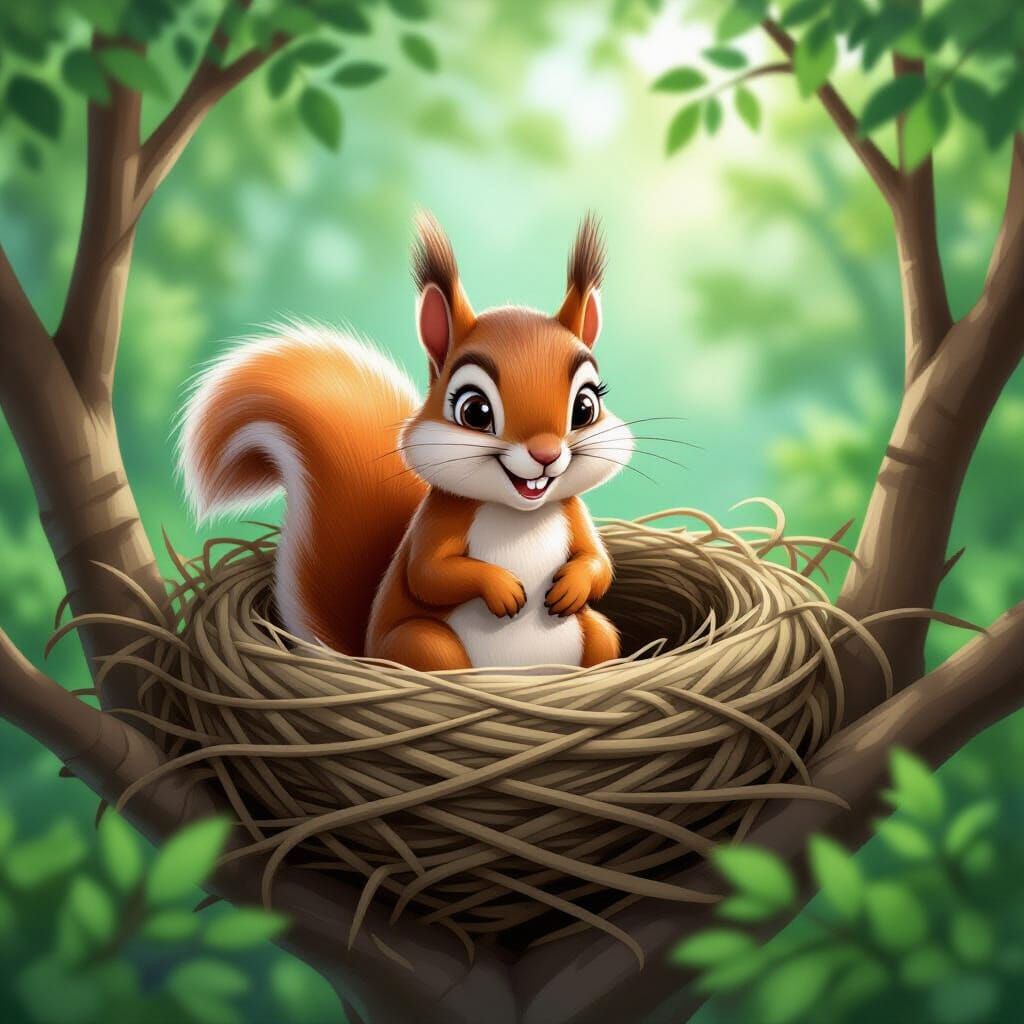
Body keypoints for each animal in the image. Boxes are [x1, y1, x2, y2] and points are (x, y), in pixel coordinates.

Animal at [179, 212, 634, 672]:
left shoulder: (574, 515)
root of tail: (363, 654)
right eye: (475, 411)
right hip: (423, 643)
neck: (518, 516)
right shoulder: (439, 521)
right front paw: (501, 587)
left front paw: (574, 584)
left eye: (586, 406)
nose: (546, 454)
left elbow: (598, 562)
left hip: (597, 635)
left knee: (601, 636)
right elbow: (429, 574)